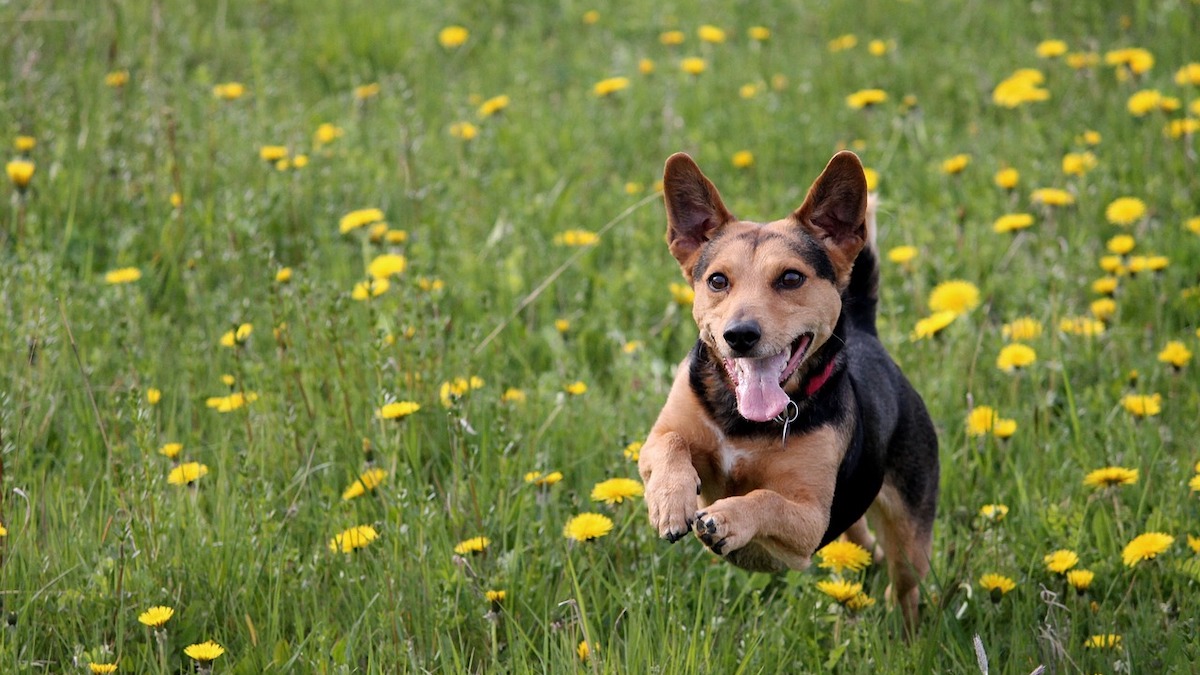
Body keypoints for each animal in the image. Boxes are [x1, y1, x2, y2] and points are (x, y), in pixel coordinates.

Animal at [638, 149, 936, 629]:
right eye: (717, 281)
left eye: (791, 279)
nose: (740, 335)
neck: (744, 421)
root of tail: (867, 335)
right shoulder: (658, 437)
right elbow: (670, 445)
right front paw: (670, 500)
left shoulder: (811, 521)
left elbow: (766, 500)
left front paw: (727, 519)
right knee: (864, 542)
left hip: (911, 535)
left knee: (905, 584)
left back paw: (905, 631)